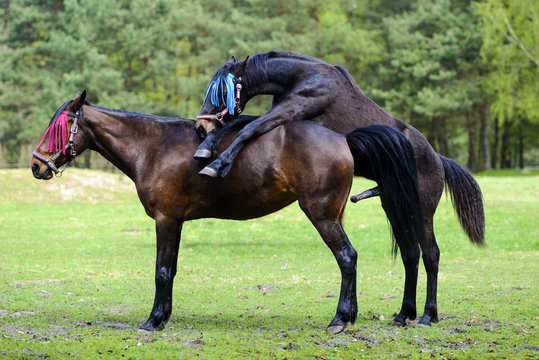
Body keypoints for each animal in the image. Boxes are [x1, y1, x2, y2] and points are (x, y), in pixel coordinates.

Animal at [30, 90, 426, 334]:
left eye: (59, 126)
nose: (36, 166)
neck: (154, 147)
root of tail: (342, 138)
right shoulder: (177, 222)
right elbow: (171, 271)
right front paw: (164, 316)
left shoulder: (166, 219)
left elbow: (161, 271)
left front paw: (153, 321)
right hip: (334, 214)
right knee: (350, 259)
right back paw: (350, 317)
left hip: (322, 215)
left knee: (347, 257)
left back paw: (340, 320)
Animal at [195, 50, 490, 326]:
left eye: (220, 90)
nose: (201, 125)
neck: (304, 77)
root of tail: (438, 159)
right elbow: (240, 122)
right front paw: (206, 147)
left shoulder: (287, 112)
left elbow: (249, 128)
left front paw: (217, 164)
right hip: (395, 208)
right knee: (411, 255)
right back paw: (403, 314)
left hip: (422, 213)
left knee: (431, 255)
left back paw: (429, 315)